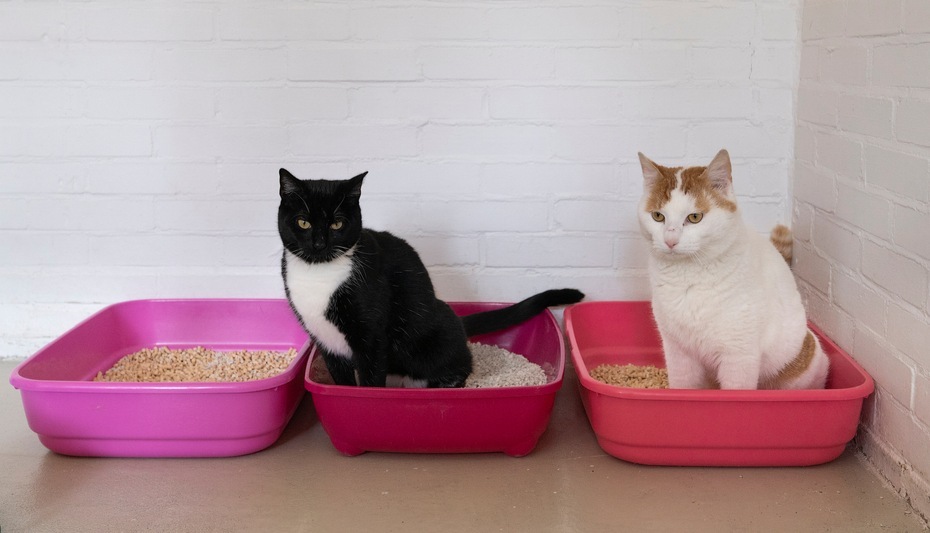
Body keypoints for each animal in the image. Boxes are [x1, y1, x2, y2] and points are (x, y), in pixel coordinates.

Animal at [276, 169, 584, 386]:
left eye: (337, 224)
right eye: (303, 222)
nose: (319, 243)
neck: (319, 273)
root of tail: (457, 321)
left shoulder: (372, 337)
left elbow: (370, 382)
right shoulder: (324, 339)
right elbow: (342, 384)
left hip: (436, 335)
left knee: (458, 366)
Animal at [640, 150, 828, 390]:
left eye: (694, 217)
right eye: (658, 216)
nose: (670, 240)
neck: (688, 277)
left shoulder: (739, 356)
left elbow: (735, 391)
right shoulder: (677, 350)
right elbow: (682, 387)